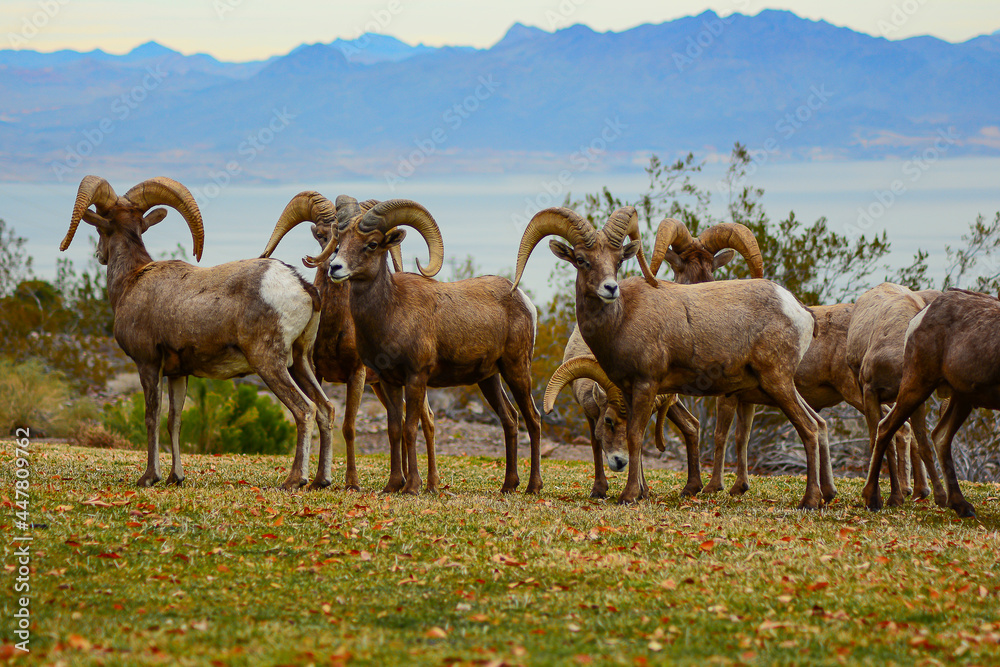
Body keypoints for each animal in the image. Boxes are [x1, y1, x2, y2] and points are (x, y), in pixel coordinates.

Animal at [59, 175, 334, 491]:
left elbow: (152, 417)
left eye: (100, 228)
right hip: (300, 361)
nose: (99, 255)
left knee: (305, 410)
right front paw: (175, 477)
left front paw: (149, 477)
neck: (131, 280)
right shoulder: (178, 373)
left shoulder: (148, 364)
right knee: (325, 409)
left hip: (269, 363)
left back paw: (294, 480)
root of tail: (301, 285)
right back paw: (321, 480)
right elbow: (174, 421)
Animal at [259, 192, 437, 491]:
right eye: (323, 235)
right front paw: (317, 480)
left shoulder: (356, 375)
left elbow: (349, 427)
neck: (335, 327)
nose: (334, 263)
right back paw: (399, 480)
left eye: (370, 243)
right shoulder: (316, 372)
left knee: (428, 422)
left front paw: (351, 483)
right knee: (400, 421)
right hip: (382, 386)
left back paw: (431, 483)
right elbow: (322, 415)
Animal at [312, 196, 542, 495]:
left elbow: (411, 429)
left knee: (533, 419)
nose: (335, 267)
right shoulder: (388, 381)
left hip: (516, 369)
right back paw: (508, 485)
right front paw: (392, 486)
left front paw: (412, 487)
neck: (391, 312)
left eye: (372, 244)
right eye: (339, 242)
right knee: (510, 419)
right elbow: (394, 429)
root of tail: (523, 299)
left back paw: (533, 487)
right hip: (489, 378)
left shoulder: (416, 378)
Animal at [845, 282, 946, 507]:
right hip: (859, 383)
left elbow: (924, 444)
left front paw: (940, 496)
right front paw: (881, 497)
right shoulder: (870, 390)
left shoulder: (915, 398)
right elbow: (881, 441)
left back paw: (914, 489)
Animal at [864, 288, 1000, 518]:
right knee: (885, 428)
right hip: (918, 385)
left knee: (940, 436)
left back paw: (961, 505)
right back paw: (873, 500)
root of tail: (918, 319)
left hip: (961, 398)